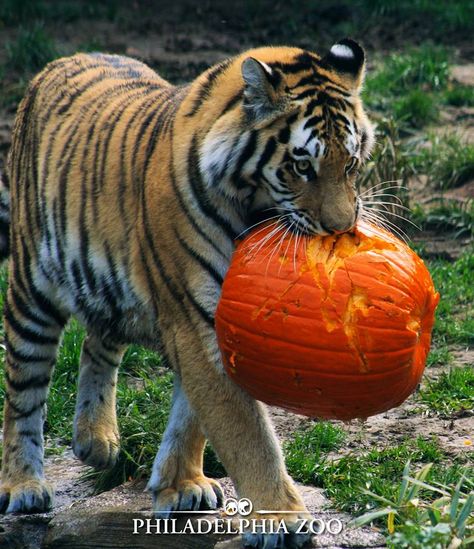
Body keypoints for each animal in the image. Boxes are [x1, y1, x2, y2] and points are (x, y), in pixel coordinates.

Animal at [0, 39, 374, 548]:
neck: (252, 209)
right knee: (23, 390)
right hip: (32, 288)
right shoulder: (196, 320)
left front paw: (180, 486)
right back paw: (23, 484)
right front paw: (282, 518)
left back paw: (96, 442)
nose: (341, 228)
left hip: (109, 287)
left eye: (351, 163)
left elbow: (192, 415)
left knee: (98, 341)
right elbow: (245, 429)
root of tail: (60, 62)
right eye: (302, 167)